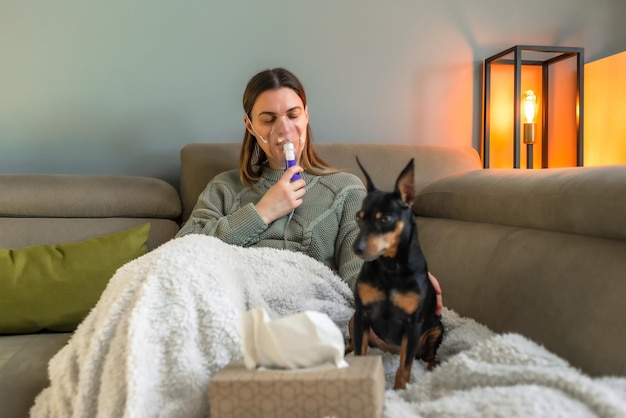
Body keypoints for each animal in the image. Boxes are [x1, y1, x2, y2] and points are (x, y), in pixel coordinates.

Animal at [346, 158, 444, 388]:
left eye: (385, 220)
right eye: (358, 218)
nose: (356, 248)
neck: (390, 268)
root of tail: (387, 350)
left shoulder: (412, 325)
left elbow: (405, 366)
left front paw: (401, 389)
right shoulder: (362, 315)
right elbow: (360, 354)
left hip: (437, 328)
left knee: (427, 355)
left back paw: (434, 364)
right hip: (354, 321)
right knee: (352, 344)